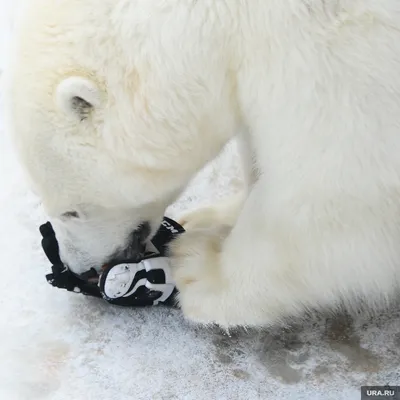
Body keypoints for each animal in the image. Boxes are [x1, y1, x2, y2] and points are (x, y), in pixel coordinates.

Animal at [4, 0, 400, 328]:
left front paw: (199, 270)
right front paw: (211, 220)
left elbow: (333, 183)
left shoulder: (340, 52)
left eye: (71, 211)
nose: (78, 268)